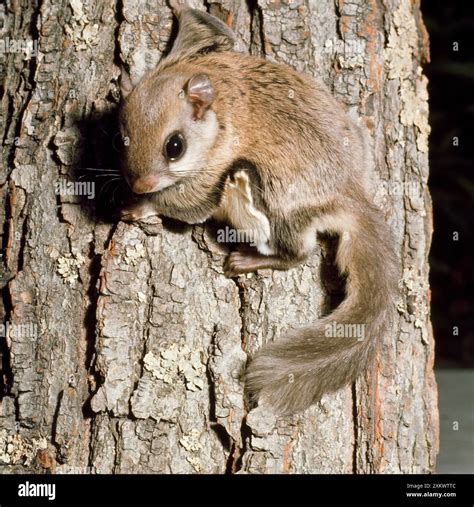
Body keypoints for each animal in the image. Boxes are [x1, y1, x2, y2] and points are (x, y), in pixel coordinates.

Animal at [118, 0, 400, 414]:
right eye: (121, 138)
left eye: (174, 146)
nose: (139, 185)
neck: (221, 103)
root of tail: (349, 193)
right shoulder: (200, 46)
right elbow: (207, 25)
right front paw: (178, 7)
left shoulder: (209, 179)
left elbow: (186, 207)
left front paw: (142, 207)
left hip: (270, 199)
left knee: (297, 253)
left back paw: (248, 260)